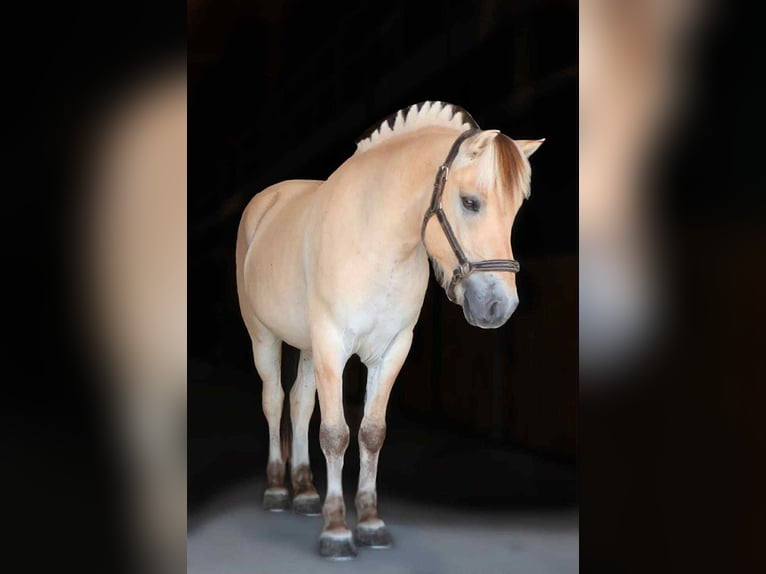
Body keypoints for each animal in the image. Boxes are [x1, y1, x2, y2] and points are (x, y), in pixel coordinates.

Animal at [235, 101, 543, 559]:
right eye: (470, 202)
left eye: (516, 210)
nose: (498, 306)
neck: (376, 242)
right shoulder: (332, 344)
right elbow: (335, 434)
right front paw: (336, 531)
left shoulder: (391, 350)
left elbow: (371, 433)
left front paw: (369, 522)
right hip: (264, 337)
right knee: (274, 401)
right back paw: (276, 489)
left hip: (307, 348)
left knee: (300, 403)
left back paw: (305, 491)